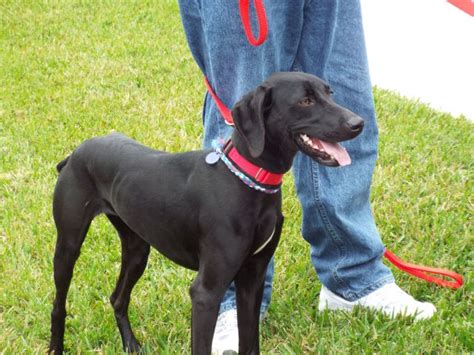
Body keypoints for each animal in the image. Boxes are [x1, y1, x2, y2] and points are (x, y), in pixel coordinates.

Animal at [49, 71, 362, 354]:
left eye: (329, 93)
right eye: (305, 101)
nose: (358, 123)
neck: (247, 179)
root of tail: (76, 153)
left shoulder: (252, 279)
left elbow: (250, 344)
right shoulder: (206, 293)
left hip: (137, 249)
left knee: (117, 298)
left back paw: (131, 345)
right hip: (68, 246)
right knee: (59, 304)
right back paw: (55, 346)